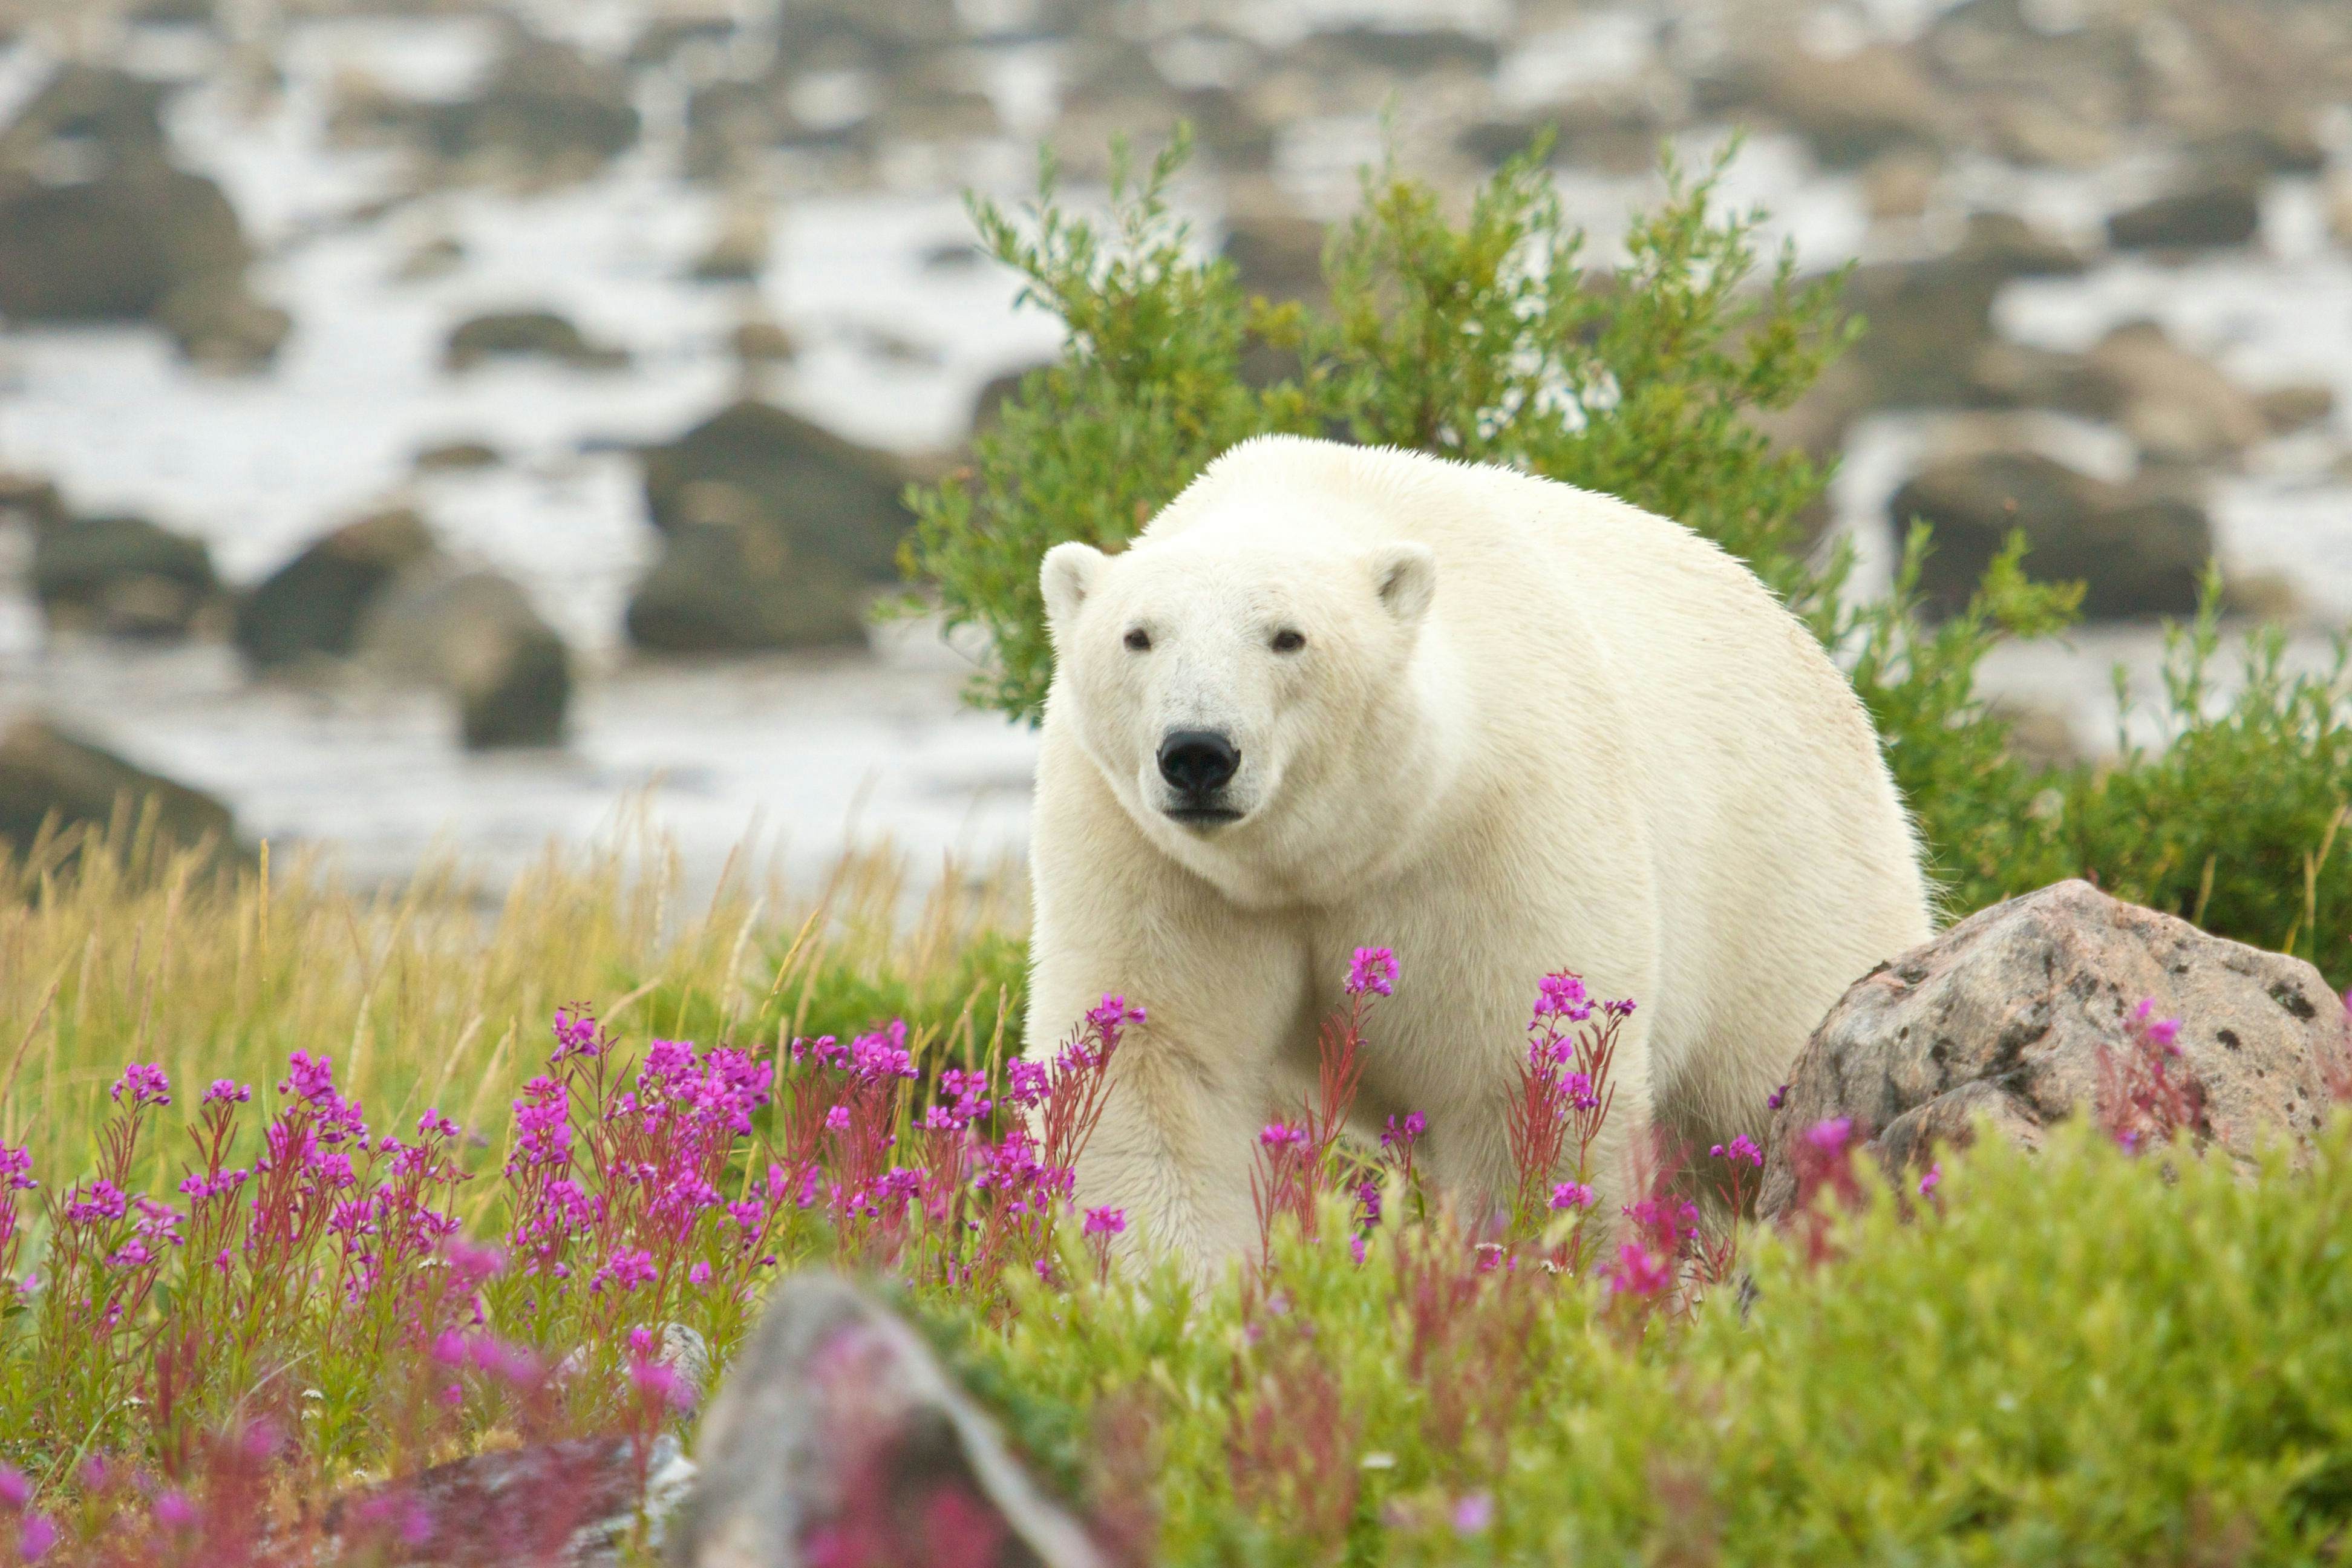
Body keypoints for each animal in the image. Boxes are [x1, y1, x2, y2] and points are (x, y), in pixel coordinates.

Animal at [1030, 434, 1929, 1279]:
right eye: (1138, 636)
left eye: (1288, 637)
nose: (1198, 753)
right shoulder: (1152, 857)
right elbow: (1158, 1062)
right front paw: (1179, 1293)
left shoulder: (1499, 827)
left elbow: (1517, 1081)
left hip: (1787, 874)